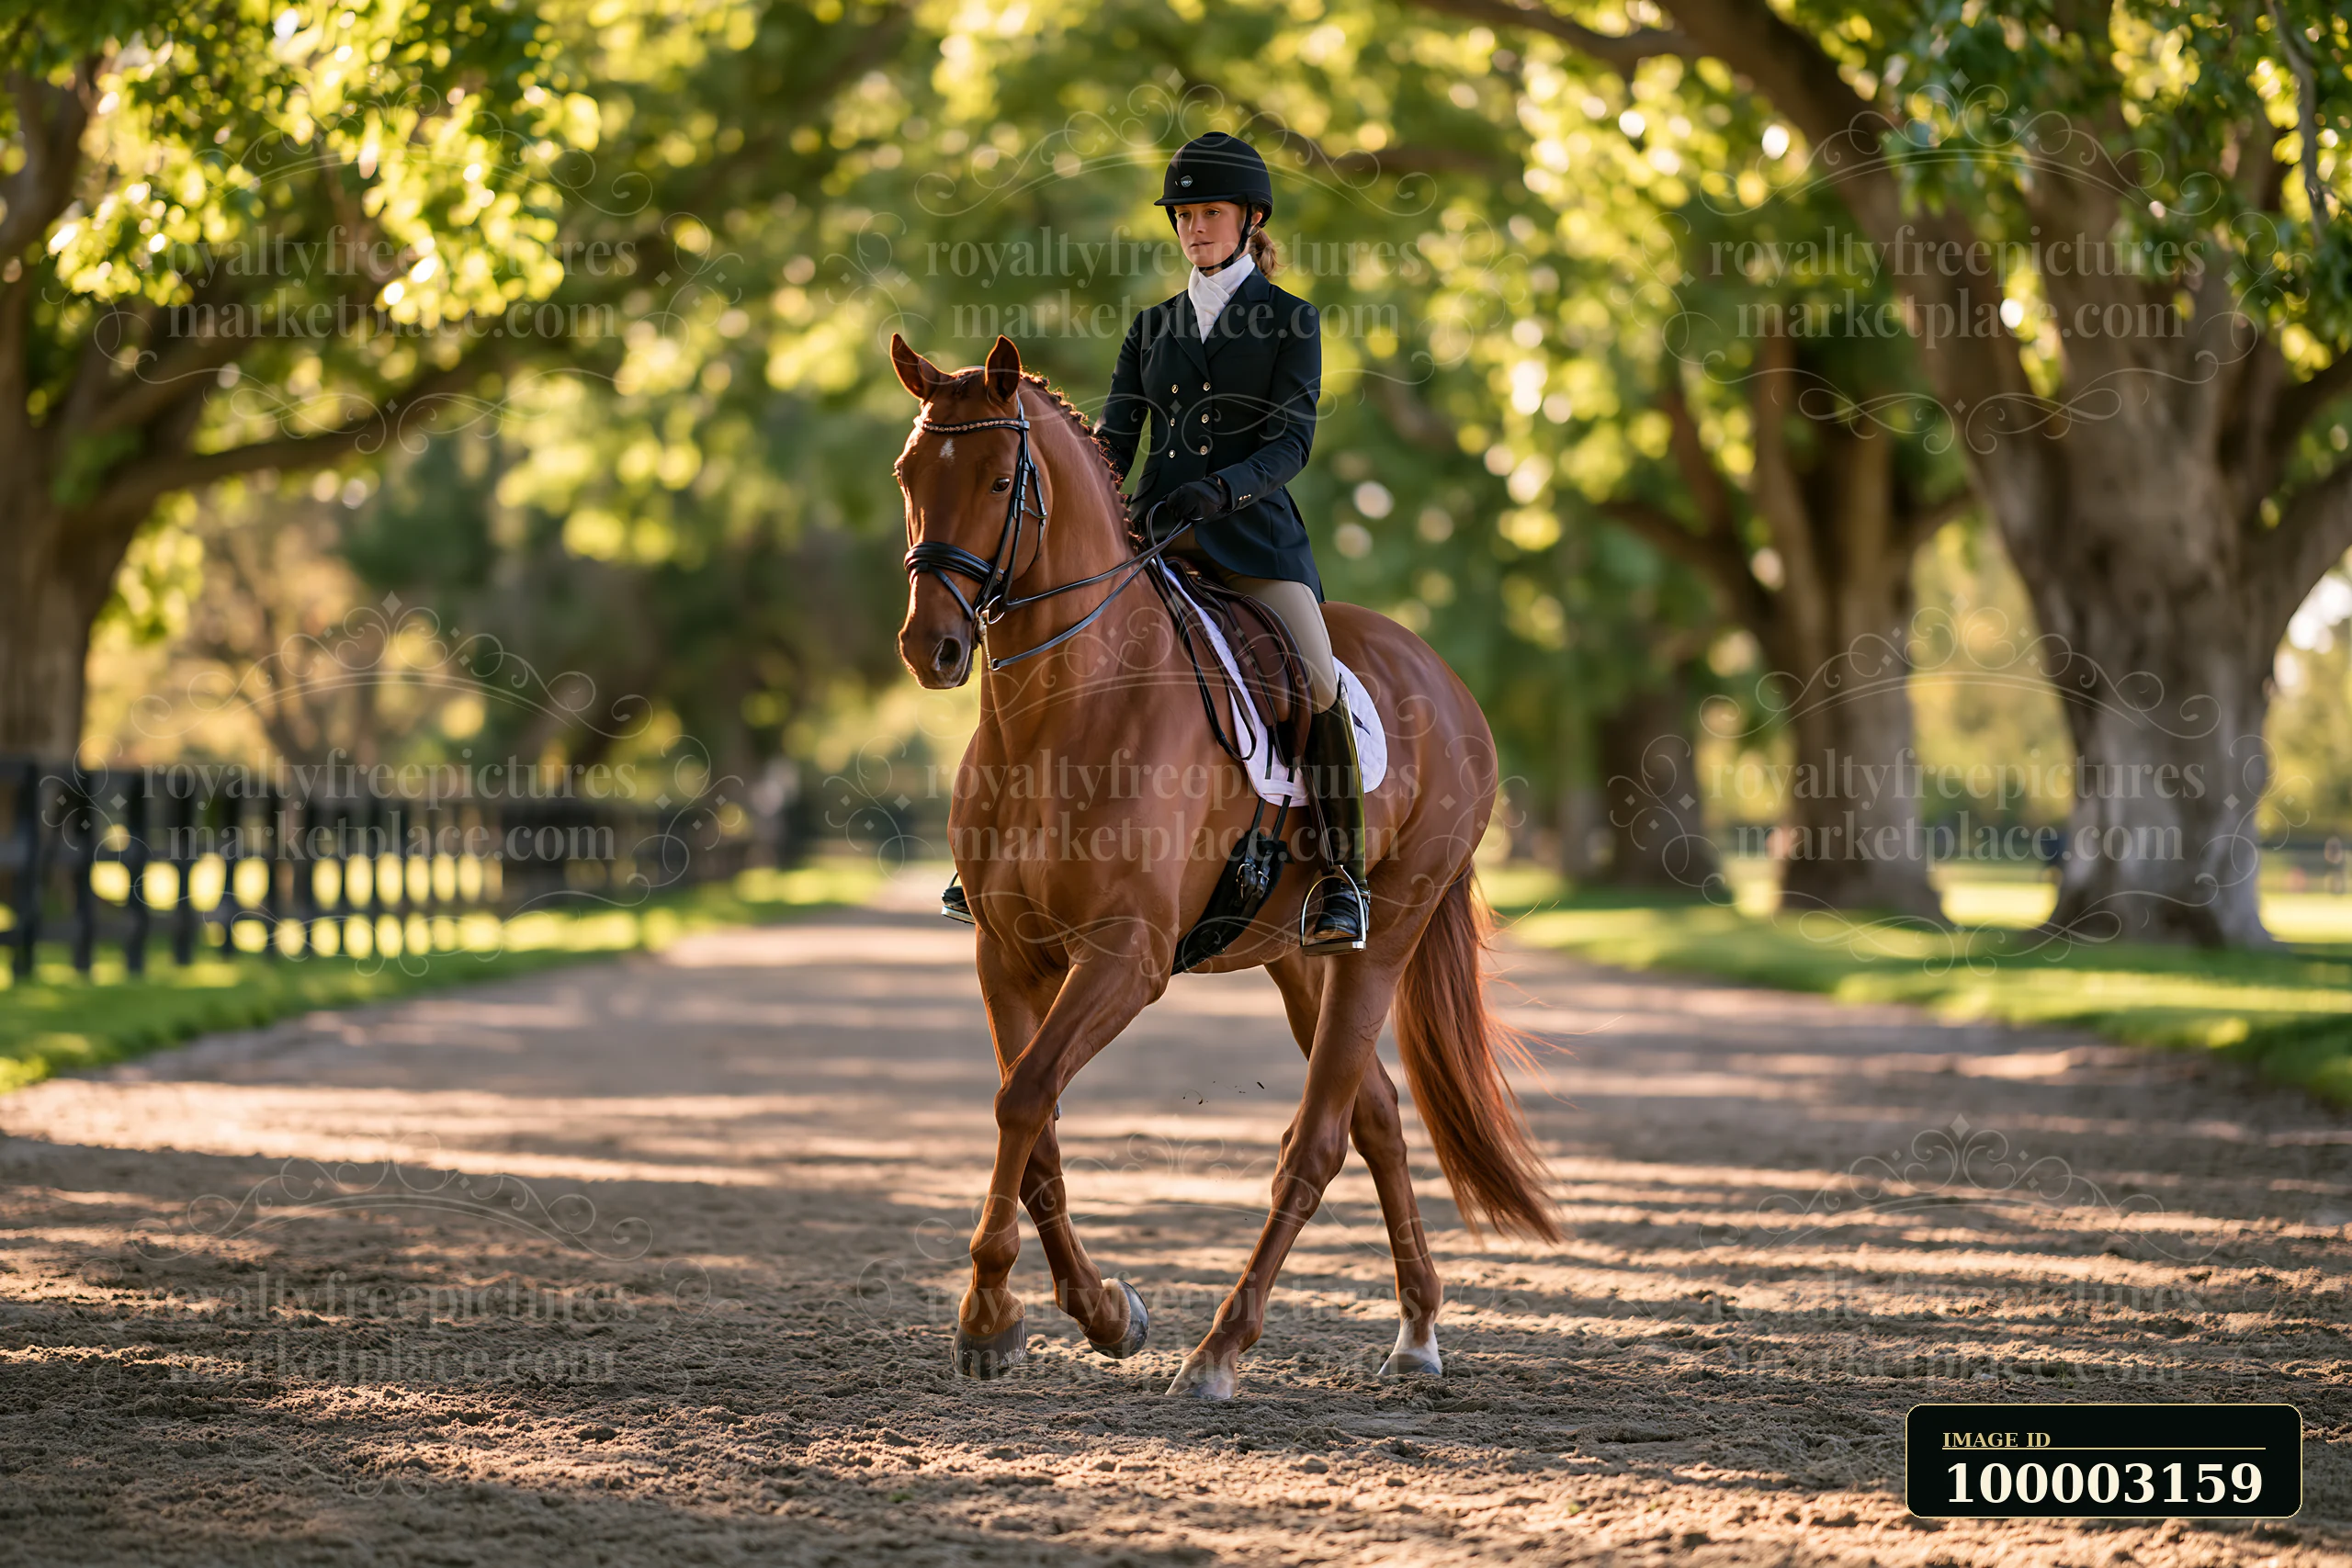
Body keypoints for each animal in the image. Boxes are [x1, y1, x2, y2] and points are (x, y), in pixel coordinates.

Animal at [889, 332, 1558, 1401]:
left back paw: (1219, 1351)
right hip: (1293, 955)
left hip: (1385, 935)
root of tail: (1445, 680)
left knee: (1317, 1140)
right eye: (910, 475)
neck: (1063, 713)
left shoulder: (1126, 957)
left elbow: (1025, 1097)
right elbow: (1034, 1129)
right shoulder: (1007, 953)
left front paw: (992, 1315)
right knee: (1374, 1115)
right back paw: (1414, 1330)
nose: (932, 646)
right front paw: (1098, 1314)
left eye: (999, 479)